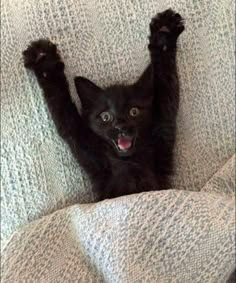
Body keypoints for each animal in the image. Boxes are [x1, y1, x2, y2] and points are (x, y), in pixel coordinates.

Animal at [22, 8, 184, 200]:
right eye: (106, 116)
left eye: (134, 111)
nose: (121, 127)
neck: (128, 160)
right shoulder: (89, 152)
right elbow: (63, 111)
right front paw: (44, 61)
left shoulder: (162, 136)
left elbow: (167, 87)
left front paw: (164, 33)